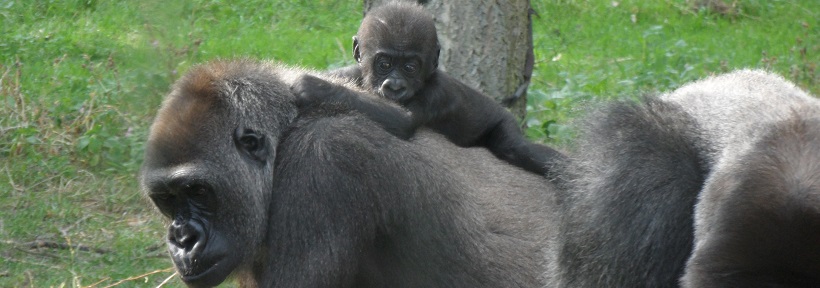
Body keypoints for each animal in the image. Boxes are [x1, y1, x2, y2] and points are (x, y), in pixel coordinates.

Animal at [292, 2, 568, 177]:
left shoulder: (437, 93)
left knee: (517, 148)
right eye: (385, 64)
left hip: (504, 120)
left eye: (410, 67)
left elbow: (402, 119)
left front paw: (316, 88)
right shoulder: (355, 72)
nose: (395, 85)